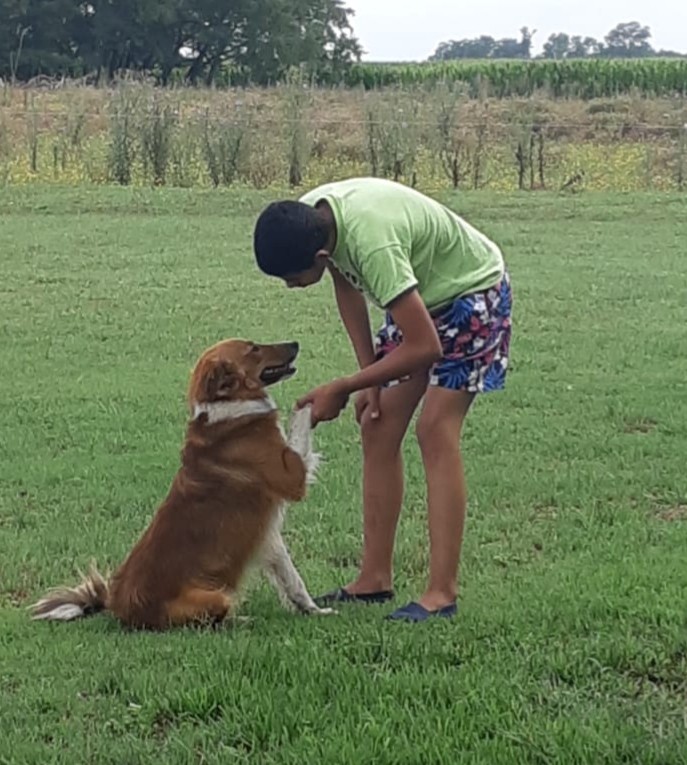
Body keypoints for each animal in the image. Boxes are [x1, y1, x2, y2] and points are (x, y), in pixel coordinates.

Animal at [29, 338, 334, 628]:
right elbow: (300, 416)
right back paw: (241, 620)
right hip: (215, 596)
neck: (227, 405)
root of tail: (116, 607)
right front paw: (317, 398)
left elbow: (292, 579)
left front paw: (314, 610)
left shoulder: (268, 537)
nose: (295, 343)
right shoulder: (292, 476)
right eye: (253, 349)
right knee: (210, 621)